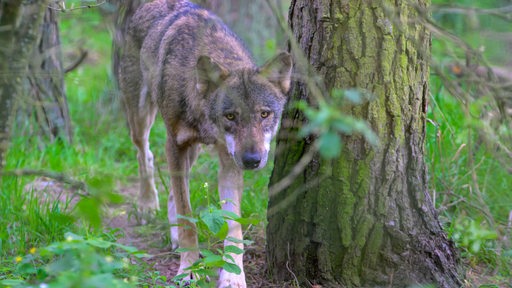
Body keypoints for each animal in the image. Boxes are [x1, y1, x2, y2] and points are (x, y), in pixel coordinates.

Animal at [117, 1, 292, 286]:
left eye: (264, 114)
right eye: (230, 116)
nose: (252, 161)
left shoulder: (228, 160)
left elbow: (234, 226)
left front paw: (233, 276)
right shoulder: (175, 145)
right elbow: (187, 218)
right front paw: (188, 269)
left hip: (193, 150)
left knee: (173, 189)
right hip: (142, 117)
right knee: (145, 154)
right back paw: (146, 205)